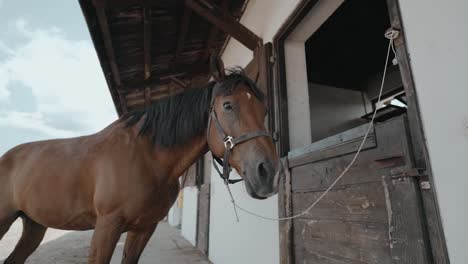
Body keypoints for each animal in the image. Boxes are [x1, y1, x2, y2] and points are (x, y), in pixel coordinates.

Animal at [0, 57, 280, 264]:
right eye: (228, 105)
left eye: (264, 110)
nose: (268, 172)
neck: (146, 156)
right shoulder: (106, 228)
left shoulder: (143, 229)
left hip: (34, 226)